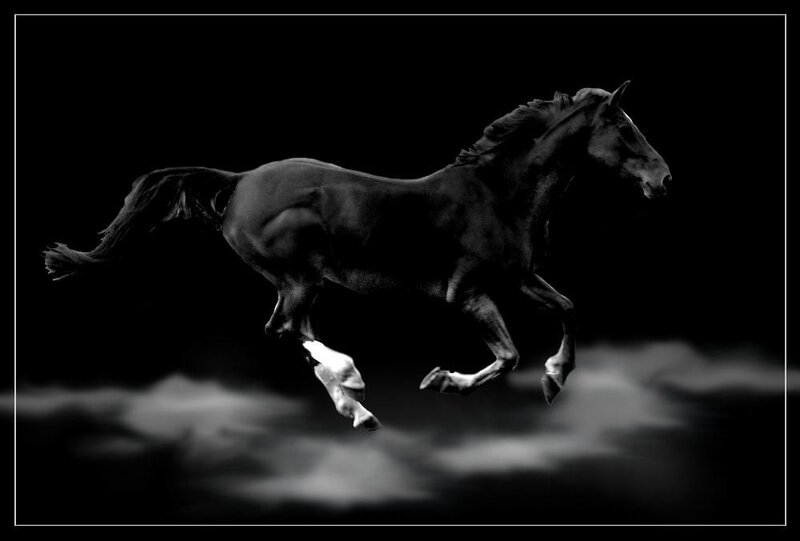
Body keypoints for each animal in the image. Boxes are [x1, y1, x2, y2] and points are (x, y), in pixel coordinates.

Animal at [43, 81, 671, 431]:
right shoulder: (468, 292)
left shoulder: (520, 278)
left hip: (304, 281)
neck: (500, 193)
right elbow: (509, 354)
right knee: (285, 329)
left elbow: (567, 308)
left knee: (295, 332)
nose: (663, 179)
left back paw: (357, 408)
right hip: (299, 274)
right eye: (623, 127)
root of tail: (239, 180)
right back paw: (352, 379)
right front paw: (442, 380)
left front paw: (554, 379)